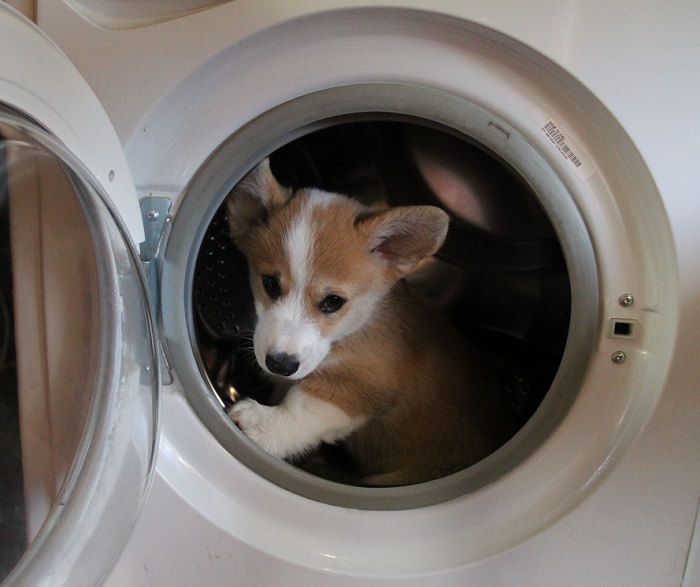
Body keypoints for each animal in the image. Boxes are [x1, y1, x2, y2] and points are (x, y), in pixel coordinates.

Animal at [227, 158, 512, 484]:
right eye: (270, 284)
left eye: (333, 301)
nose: (280, 364)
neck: (352, 330)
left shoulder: (360, 384)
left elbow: (301, 405)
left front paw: (262, 424)